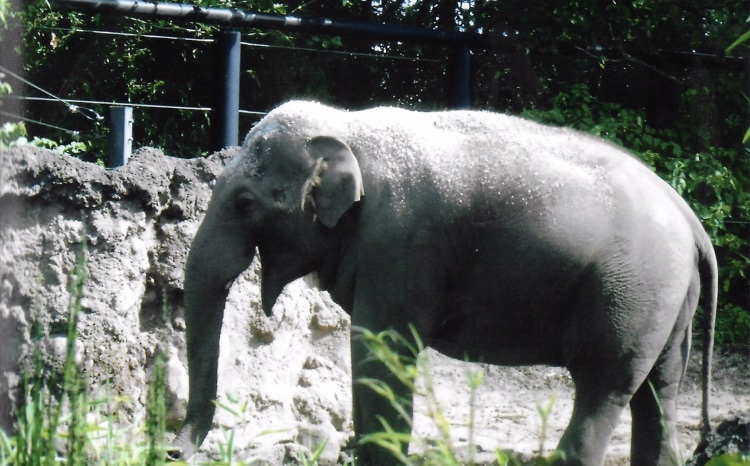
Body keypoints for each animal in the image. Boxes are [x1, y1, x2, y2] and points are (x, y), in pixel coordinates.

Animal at [169, 101, 716, 466]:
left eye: (245, 203)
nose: (173, 452)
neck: (347, 125)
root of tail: (690, 217)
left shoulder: (400, 245)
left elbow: (381, 350)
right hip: (667, 299)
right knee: (659, 390)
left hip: (631, 292)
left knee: (605, 387)